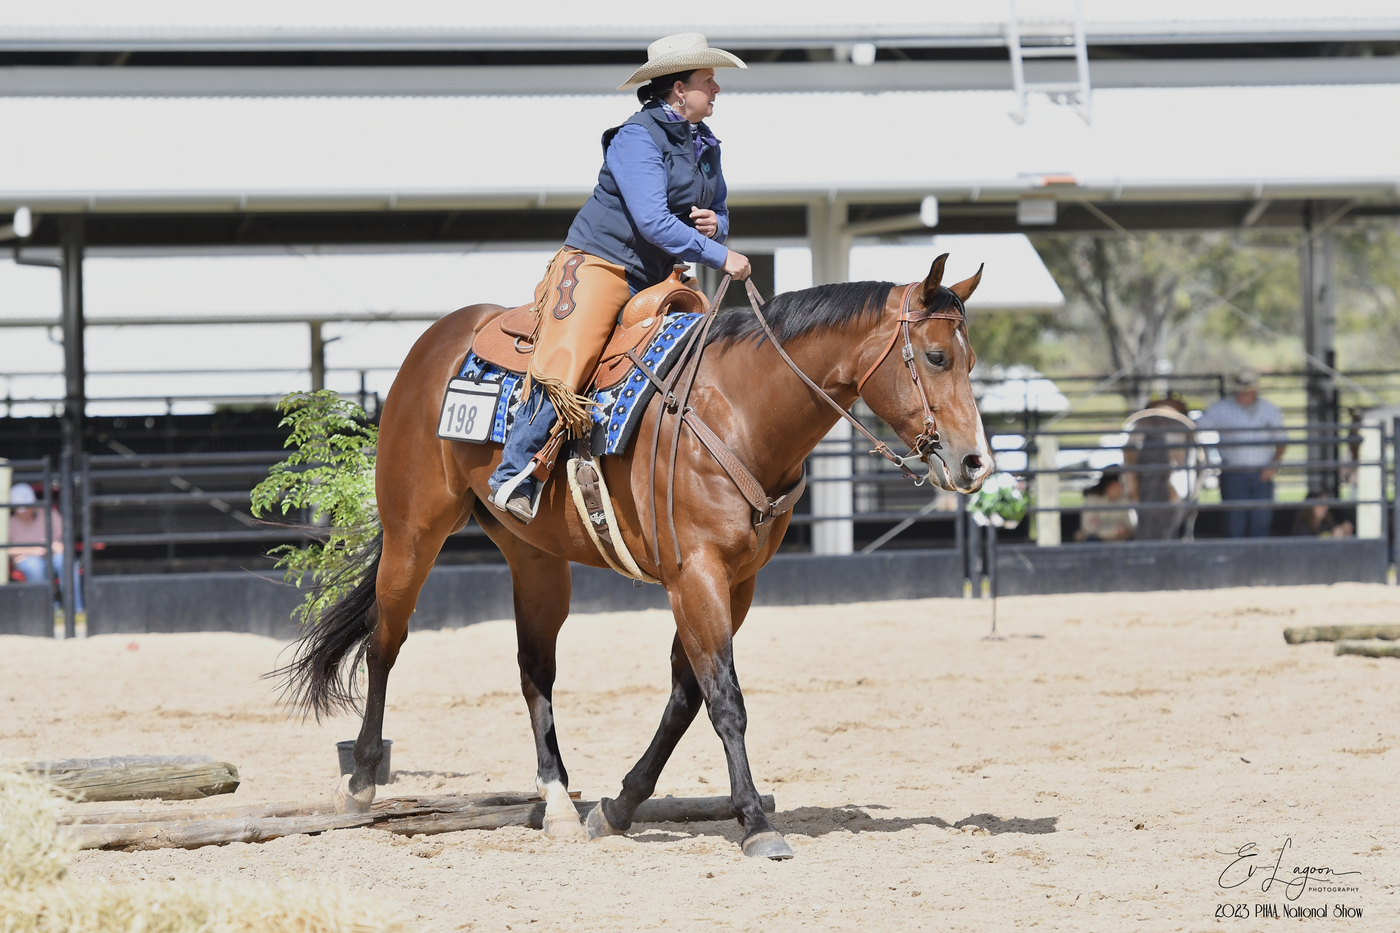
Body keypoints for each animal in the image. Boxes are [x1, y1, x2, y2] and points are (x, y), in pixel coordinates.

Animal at [278, 253, 994, 859]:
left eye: (971, 359)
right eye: (935, 356)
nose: (974, 462)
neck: (739, 410)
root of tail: (437, 340)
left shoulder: (736, 583)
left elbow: (686, 695)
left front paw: (618, 807)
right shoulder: (694, 575)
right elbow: (724, 699)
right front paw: (756, 824)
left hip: (536, 560)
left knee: (535, 670)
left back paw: (558, 801)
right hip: (413, 534)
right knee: (385, 643)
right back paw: (361, 782)